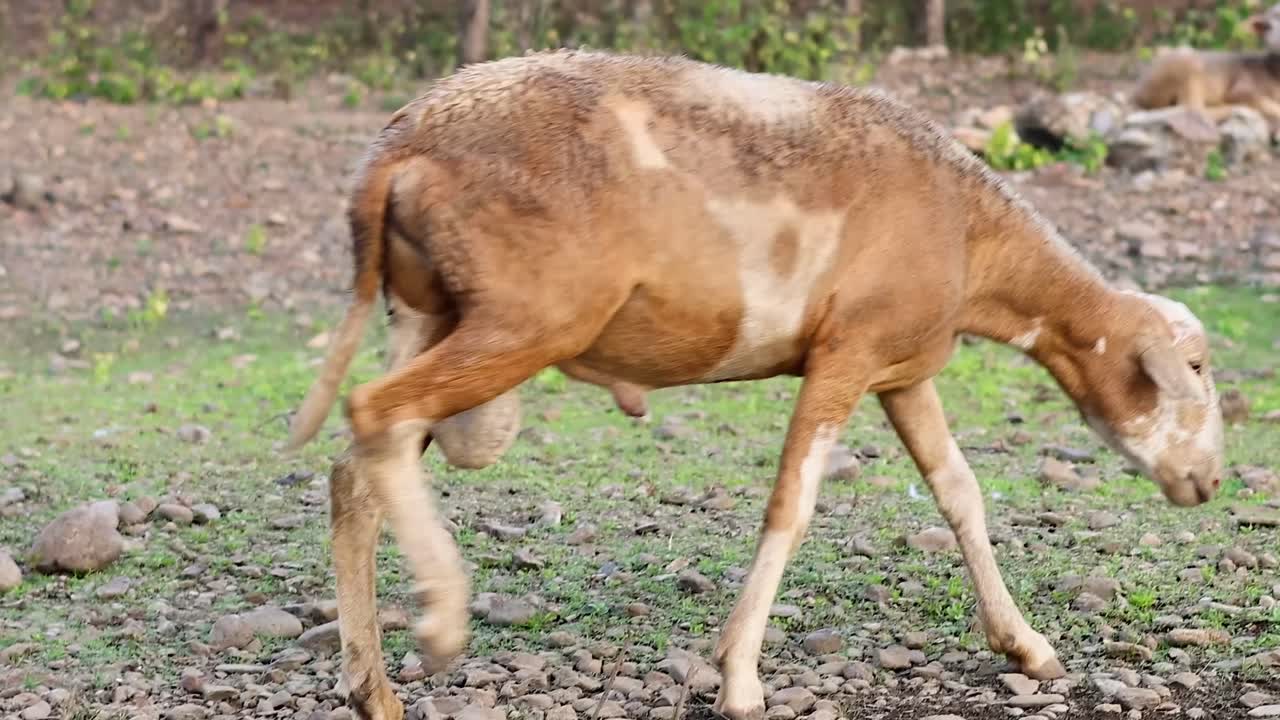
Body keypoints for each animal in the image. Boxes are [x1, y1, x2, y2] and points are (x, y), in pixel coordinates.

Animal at [286, 49, 1224, 720]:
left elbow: (960, 492)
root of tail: (400, 142)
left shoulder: (901, 369)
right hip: (525, 318)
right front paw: (738, 677)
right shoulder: (846, 354)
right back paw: (442, 619)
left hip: (427, 310)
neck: (974, 238)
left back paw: (373, 687)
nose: (1210, 481)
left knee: (357, 469)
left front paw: (1025, 646)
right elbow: (791, 505)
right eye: (1195, 368)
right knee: (375, 414)